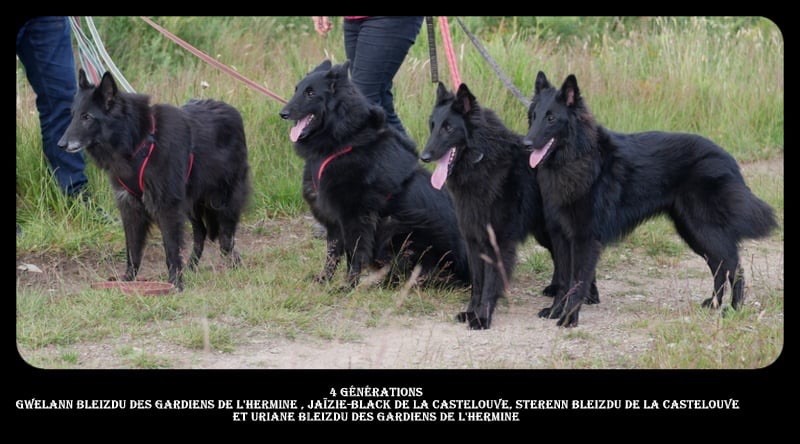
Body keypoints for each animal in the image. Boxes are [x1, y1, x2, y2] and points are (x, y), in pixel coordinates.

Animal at [59, 70, 250, 290]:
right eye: (72, 115)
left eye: (87, 117)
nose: (61, 144)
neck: (136, 141)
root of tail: (231, 110)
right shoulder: (130, 207)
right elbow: (132, 251)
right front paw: (127, 281)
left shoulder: (166, 207)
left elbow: (171, 250)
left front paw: (175, 283)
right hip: (191, 205)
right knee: (201, 233)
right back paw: (191, 267)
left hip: (222, 201)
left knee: (226, 239)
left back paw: (234, 266)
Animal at [280, 59, 468, 288]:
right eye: (296, 90)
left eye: (310, 93)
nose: (283, 113)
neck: (342, 141)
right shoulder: (334, 218)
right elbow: (332, 253)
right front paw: (324, 279)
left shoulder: (355, 216)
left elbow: (354, 253)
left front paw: (348, 285)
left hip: (398, 227)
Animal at [418, 81, 592, 328]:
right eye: (432, 126)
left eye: (448, 128)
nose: (423, 156)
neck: (481, 159)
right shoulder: (473, 241)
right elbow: (477, 284)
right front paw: (471, 313)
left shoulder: (497, 243)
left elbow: (490, 283)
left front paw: (482, 318)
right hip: (546, 232)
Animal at [524, 72, 776, 326]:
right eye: (533, 116)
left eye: (551, 118)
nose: (526, 144)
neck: (575, 157)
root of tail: (727, 158)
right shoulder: (560, 237)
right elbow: (563, 280)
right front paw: (556, 310)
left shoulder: (584, 239)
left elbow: (577, 281)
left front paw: (569, 318)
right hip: (692, 231)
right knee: (719, 266)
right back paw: (713, 304)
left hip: (704, 230)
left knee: (734, 267)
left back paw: (734, 309)